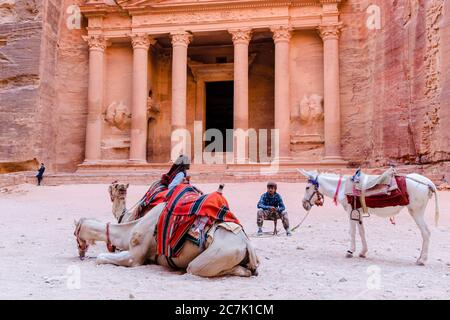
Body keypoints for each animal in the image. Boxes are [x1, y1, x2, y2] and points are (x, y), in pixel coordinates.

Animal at [72, 192, 258, 278]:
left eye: (75, 233)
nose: (80, 253)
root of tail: (247, 244)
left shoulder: (134, 256)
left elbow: (101, 258)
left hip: (216, 255)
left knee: (194, 268)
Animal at [298, 169, 440, 266]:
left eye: (307, 187)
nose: (304, 204)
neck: (343, 188)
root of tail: (428, 182)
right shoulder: (358, 212)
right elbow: (362, 232)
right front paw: (363, 252)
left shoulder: (350, 210)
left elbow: (352, 232)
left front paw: (350, 251)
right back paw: (420, 258)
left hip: (416, 212)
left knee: (426, 232)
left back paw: (422, 260)